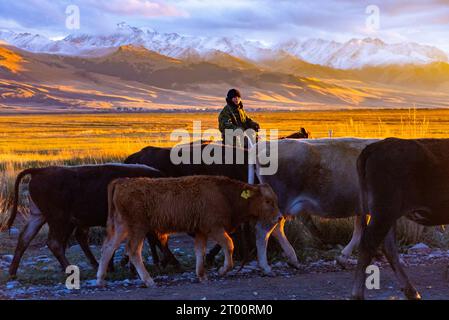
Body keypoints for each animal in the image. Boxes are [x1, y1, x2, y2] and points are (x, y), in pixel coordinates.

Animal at [5, 164, 164, 276]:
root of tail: (39, 171)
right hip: (59, 219)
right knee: (55, 243)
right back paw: (71, 270)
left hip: (39, 217)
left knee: (25, 238)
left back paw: (12, 273)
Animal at [96, 175, 282, 288]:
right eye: (267, 201)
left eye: (275, 199)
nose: (279, 217)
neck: (224, 194)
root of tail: (122, 182)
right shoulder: (214, 228)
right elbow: (229, 245)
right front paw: (222, 270)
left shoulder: (201, 231)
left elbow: (200, 251)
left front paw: (201, 275)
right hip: (138, 228)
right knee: (133, 251)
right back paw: (149, 281)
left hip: (121, 226)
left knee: (108, 247)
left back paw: (100, 279)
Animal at [352, 138, 448, 300]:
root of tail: (375, 146)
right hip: (385, 211)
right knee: (368, 244)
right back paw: (357, 295)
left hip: (388, 214)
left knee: (388, 246)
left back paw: (411, 292)